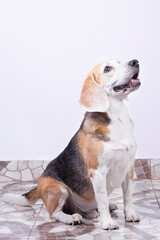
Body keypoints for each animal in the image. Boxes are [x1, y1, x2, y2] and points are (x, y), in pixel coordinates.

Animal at [3, 59, 140, 230]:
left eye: (120, 61)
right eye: (107, 68)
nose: (135, 62)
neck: (117, 119)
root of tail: (39, 185)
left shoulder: (129, 169)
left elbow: (128, 197)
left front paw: (130, 214)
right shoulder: (98, 172)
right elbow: (102, 199)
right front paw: (107, 222)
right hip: (59, 189)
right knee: (53, 214)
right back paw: (71, 218)